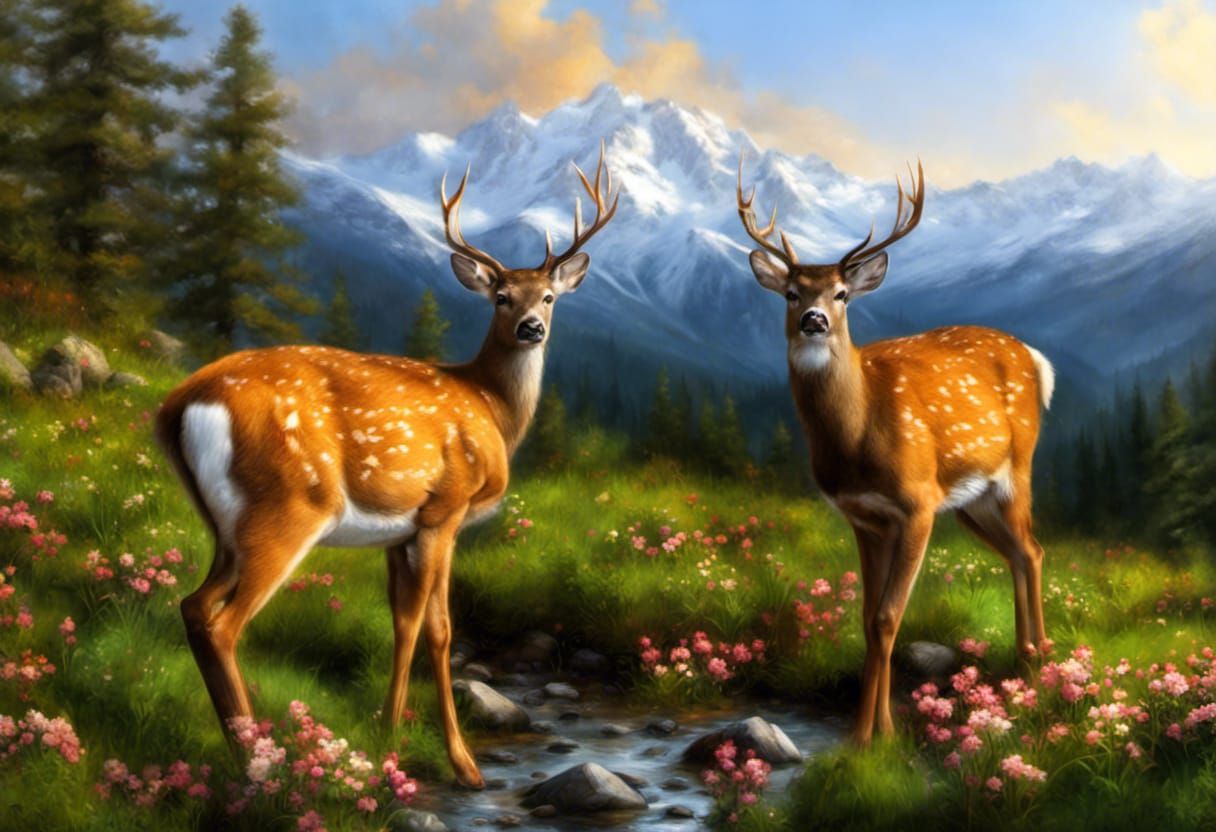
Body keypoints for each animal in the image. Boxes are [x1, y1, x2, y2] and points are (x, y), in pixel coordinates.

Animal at [155, 144, 620, 788]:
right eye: (501, 297)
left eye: (548, 297)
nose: (532, 328)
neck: (490, 407)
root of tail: (178, 405)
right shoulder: (445, 509)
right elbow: (438, 629)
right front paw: (461, 763)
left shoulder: (401, 532)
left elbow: (401, 623)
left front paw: (388, 734)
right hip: (287, 506)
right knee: (224, 623)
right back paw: (258, 763)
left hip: (224, 525)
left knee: (194, 607)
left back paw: (241, 752)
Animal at [735, 155, 1054, 744]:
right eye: (792, 293)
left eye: (841, 293)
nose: (814, 320)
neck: (858, 439)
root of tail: (1036, 359)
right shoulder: (863, 517)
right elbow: (867, 619)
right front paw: (877, 728)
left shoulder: (917, 504)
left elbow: (888, 618)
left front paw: (867, 736)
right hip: (971, 502)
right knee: (1021, 553)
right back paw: (1026, 658)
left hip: (1015, 470)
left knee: (1034, 549)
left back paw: (1040, 660)